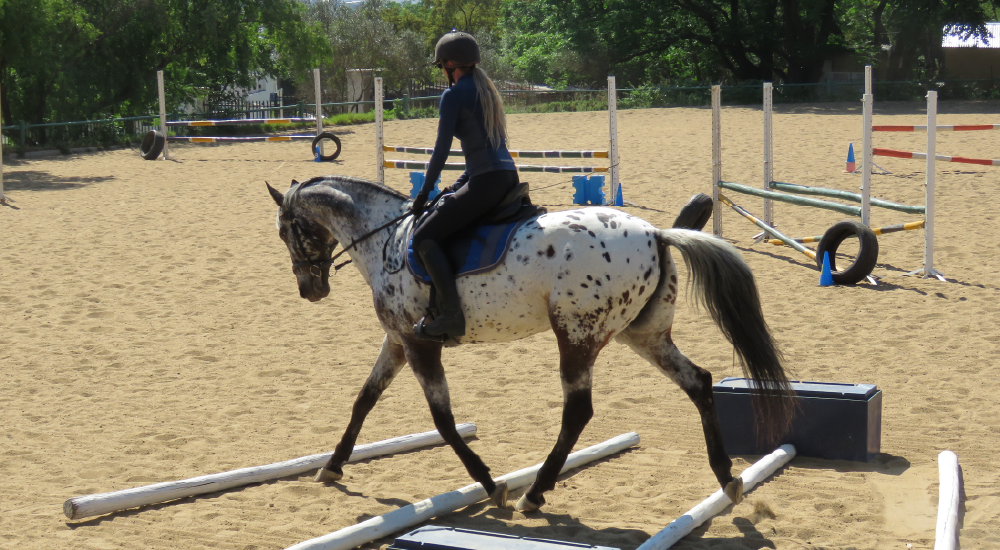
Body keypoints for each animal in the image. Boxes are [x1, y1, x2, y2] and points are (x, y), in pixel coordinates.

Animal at [265, 175, 793, 512]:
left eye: (287, 230)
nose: (309, 290)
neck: (388, 239)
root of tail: (656, 233)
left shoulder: (420, 346)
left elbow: (443, 421)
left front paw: (489, 483)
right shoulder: (397, 340)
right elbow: (364, 400)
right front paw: (332, 466)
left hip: (577, 335)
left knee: (578, 411)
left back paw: (534, 492)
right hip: (643, 335)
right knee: (699, 382)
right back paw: (727, 478)